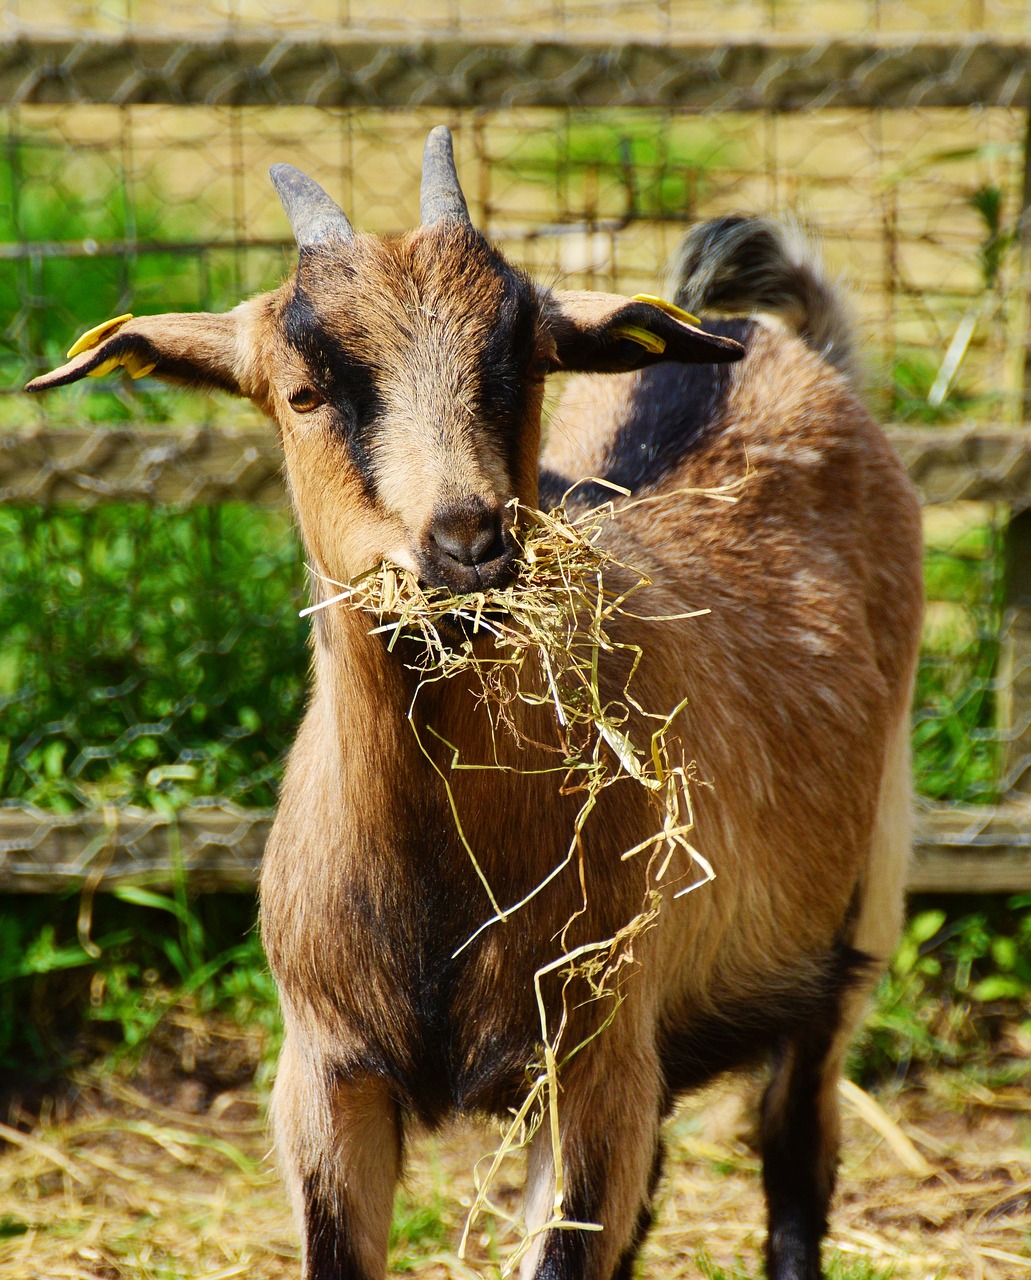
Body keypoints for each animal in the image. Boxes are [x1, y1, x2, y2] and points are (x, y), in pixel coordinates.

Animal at [28, 127, 922, 1280]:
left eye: (526, 359)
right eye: (303, 391)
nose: (466, 541)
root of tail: (764, 338)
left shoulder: (587, 1066)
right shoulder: (327, 1077)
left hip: (860, 904)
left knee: (797, 1139)